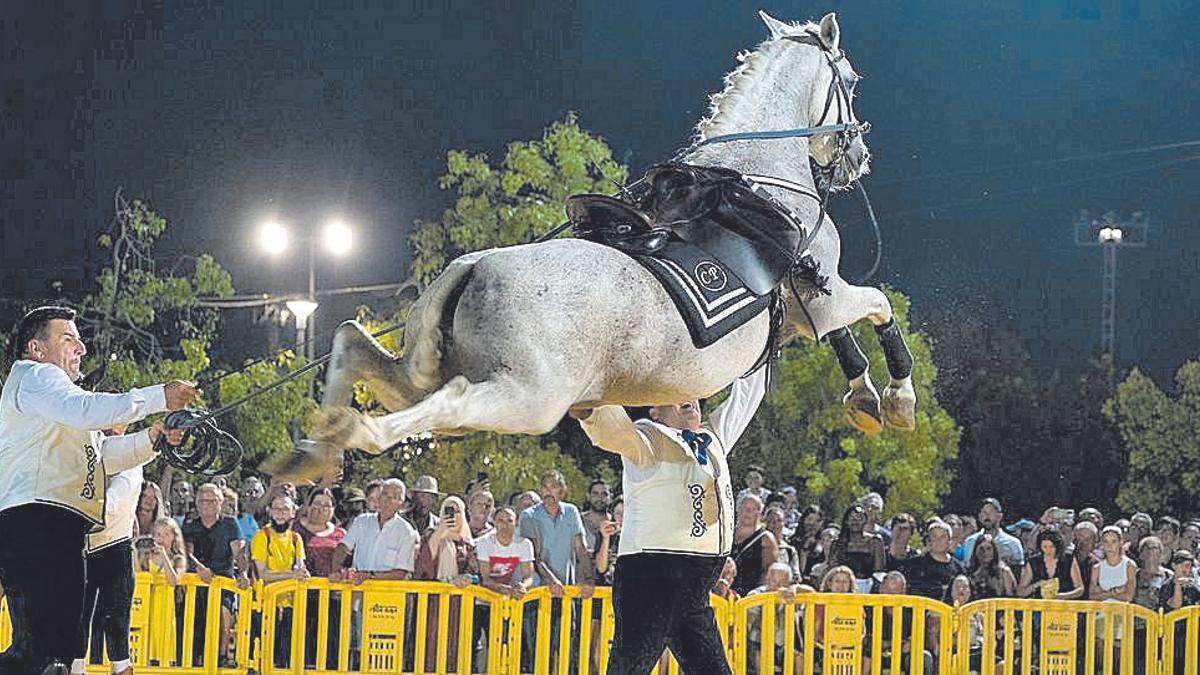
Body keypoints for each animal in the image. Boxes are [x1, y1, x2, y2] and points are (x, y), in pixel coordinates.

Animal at [267, 11, 912, 482]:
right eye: (851, 81)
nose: (858, 158)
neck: (760, 180)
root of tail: (471, 268)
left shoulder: (803, 312)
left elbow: (849, 341)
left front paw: (865, 397)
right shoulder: (824, 300)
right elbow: (878, 307)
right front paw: (895, 398)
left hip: (420, 374)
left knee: (352, 341)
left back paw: (313, 448)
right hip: (526, 398)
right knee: (448, 401)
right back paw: (356, 434)